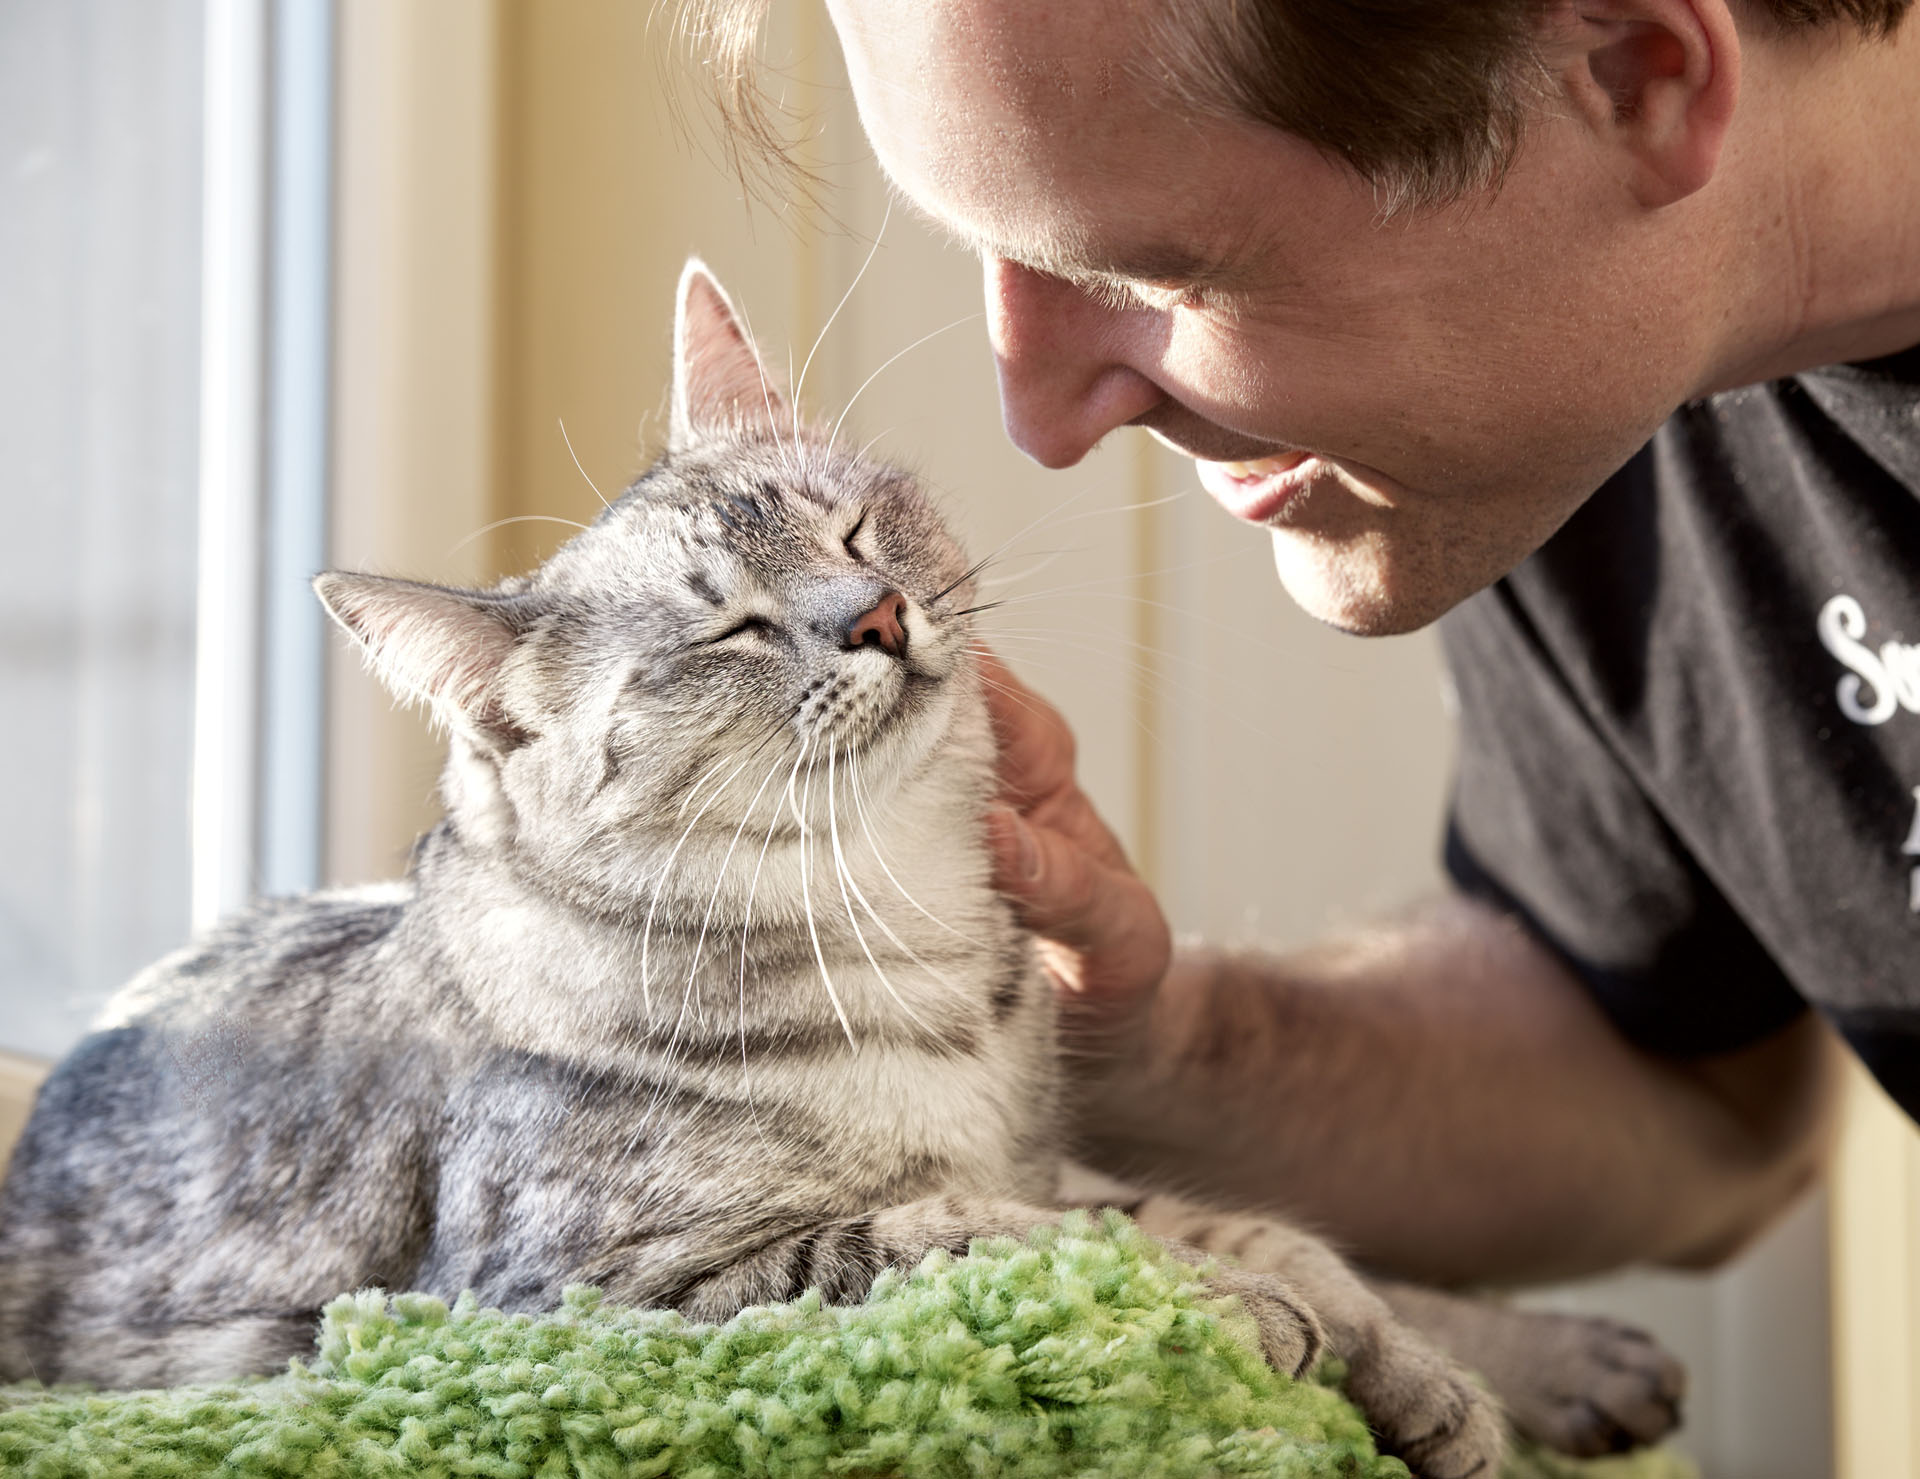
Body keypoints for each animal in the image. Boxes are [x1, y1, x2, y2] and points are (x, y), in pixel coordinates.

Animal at [0, 265, 1681, 1475]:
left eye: (856, 525)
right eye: (729, 628)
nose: (872, 615)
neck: (912, 931)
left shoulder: (1042, 1148)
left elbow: (1248, 1229)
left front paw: (1422, 1369)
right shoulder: (606, 1293)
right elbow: (993, 1238)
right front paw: (1246, 1326)